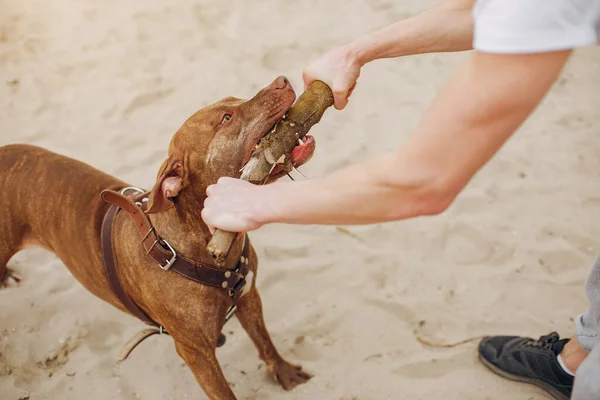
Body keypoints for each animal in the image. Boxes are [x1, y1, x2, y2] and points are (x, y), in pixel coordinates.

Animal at [0, 76, 316, 398]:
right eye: (226, 119)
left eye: (233, 99)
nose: (280, 80)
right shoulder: (196, 352)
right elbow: (224, 392)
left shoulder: (249, 298)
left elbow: (264, 340)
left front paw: (284, 372)